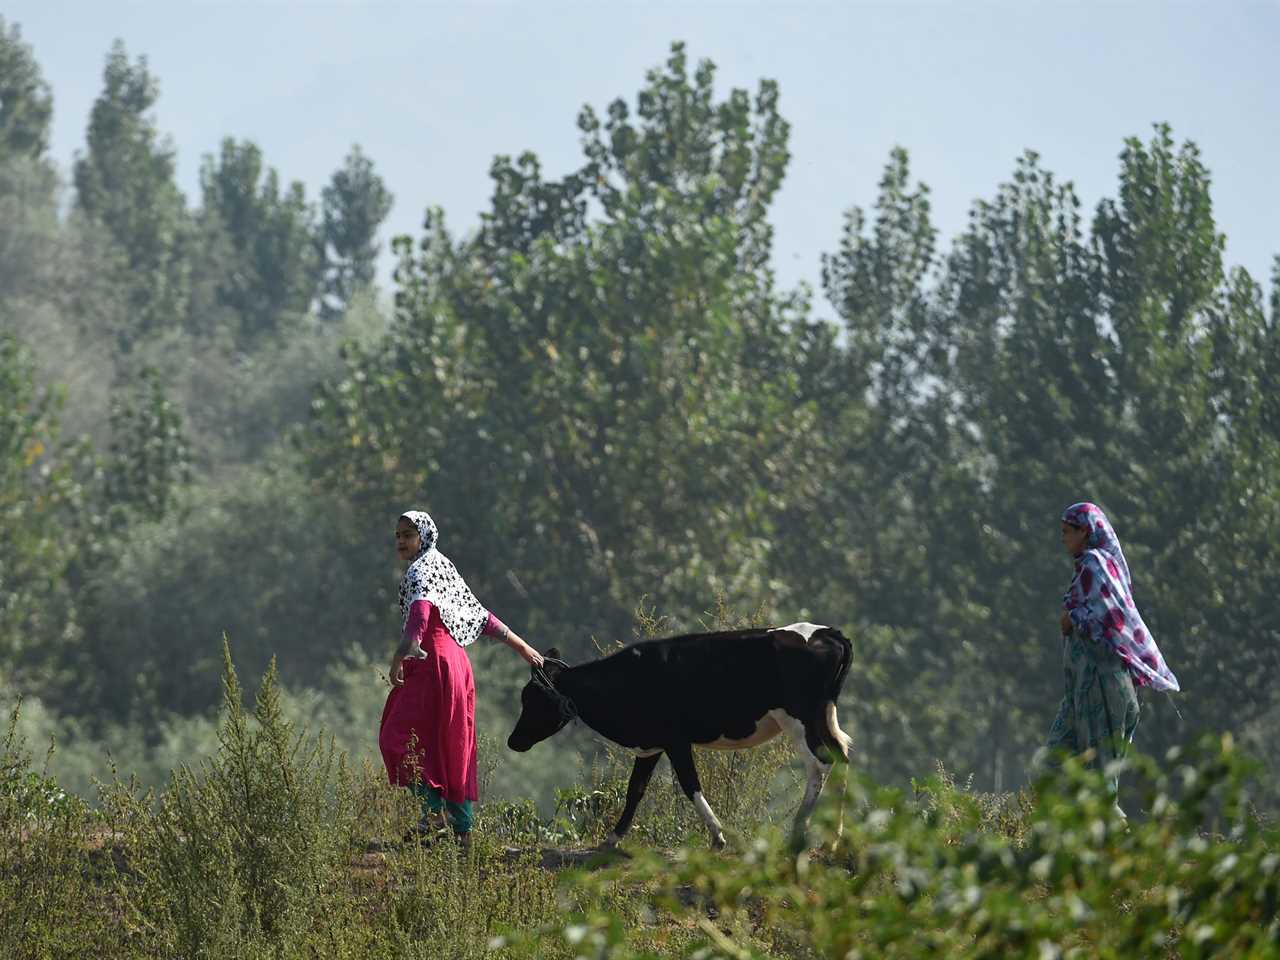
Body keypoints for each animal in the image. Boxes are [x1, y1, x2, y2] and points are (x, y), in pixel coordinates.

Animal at [506, 627, 849, 855]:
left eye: (533, 699)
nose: (513, 741)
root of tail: (826, 633)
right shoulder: (650, 745)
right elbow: (635, 790)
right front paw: (612, 838)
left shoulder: (676, 741)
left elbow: (690, 784)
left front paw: (718, 836)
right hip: (823, 717)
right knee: (841, 758)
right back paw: (834, 840)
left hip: (799, 718)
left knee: (820, 764)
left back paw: (799, 833)